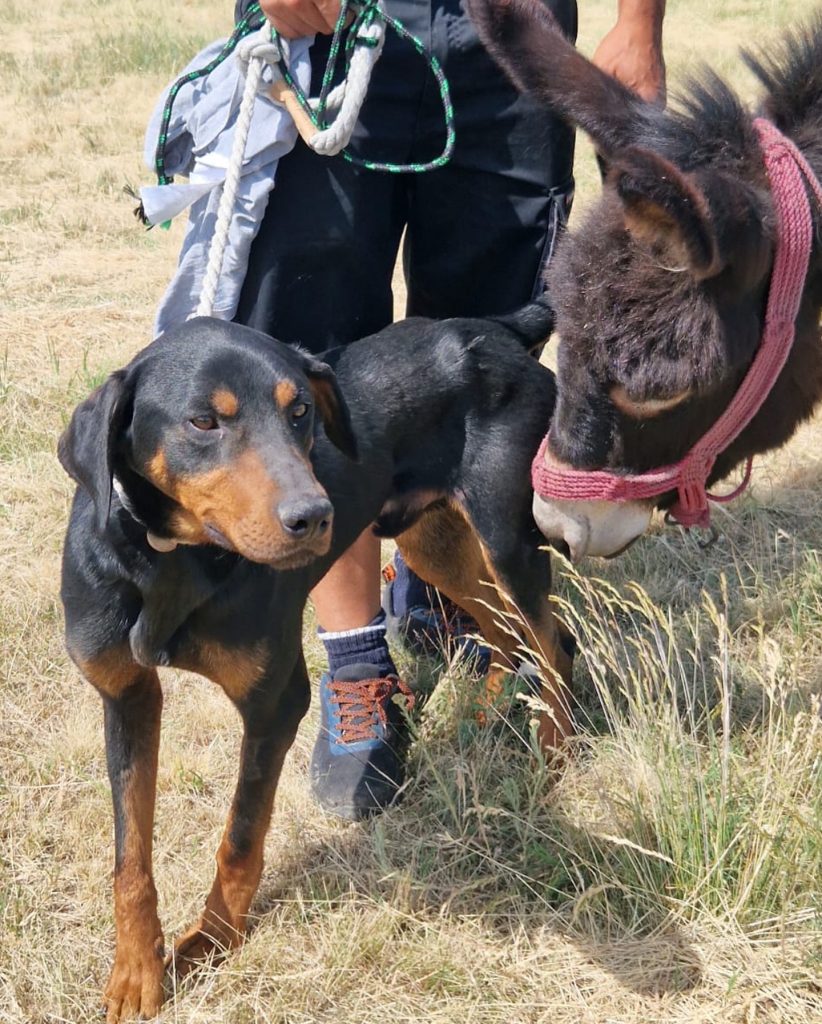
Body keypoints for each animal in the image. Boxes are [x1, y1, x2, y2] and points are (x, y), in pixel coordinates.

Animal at [59, 309, 573, 1015]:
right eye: (203, 422)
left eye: (300, 410)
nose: (315, 516)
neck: (169, 557)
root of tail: (500, 330)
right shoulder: (127, 695)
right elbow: (130, 858)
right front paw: (136, 972)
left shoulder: (275, 705)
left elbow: (241, 836)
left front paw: (211, 943)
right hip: (435, 539)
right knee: (508, 633)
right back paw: (490, 710)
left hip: (507, 538)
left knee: (553, 644)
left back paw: (554, 751)